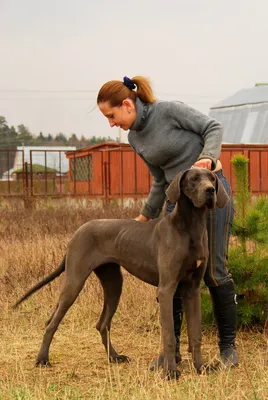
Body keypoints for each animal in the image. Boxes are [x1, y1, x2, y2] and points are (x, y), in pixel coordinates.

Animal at [14, 167, 228, 380]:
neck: (191, 227)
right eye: (194, 179)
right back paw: (42, 359)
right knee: (52, 323)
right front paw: (171, 372)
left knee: (102, 324)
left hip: (114, 284)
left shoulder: (192, 290)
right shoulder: (166, 289)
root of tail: (77, 232)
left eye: (212, 178)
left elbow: (195, 334)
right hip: (74, 282)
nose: (210, 190)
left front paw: (201, 367)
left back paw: (114, 357)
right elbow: (169, 335)